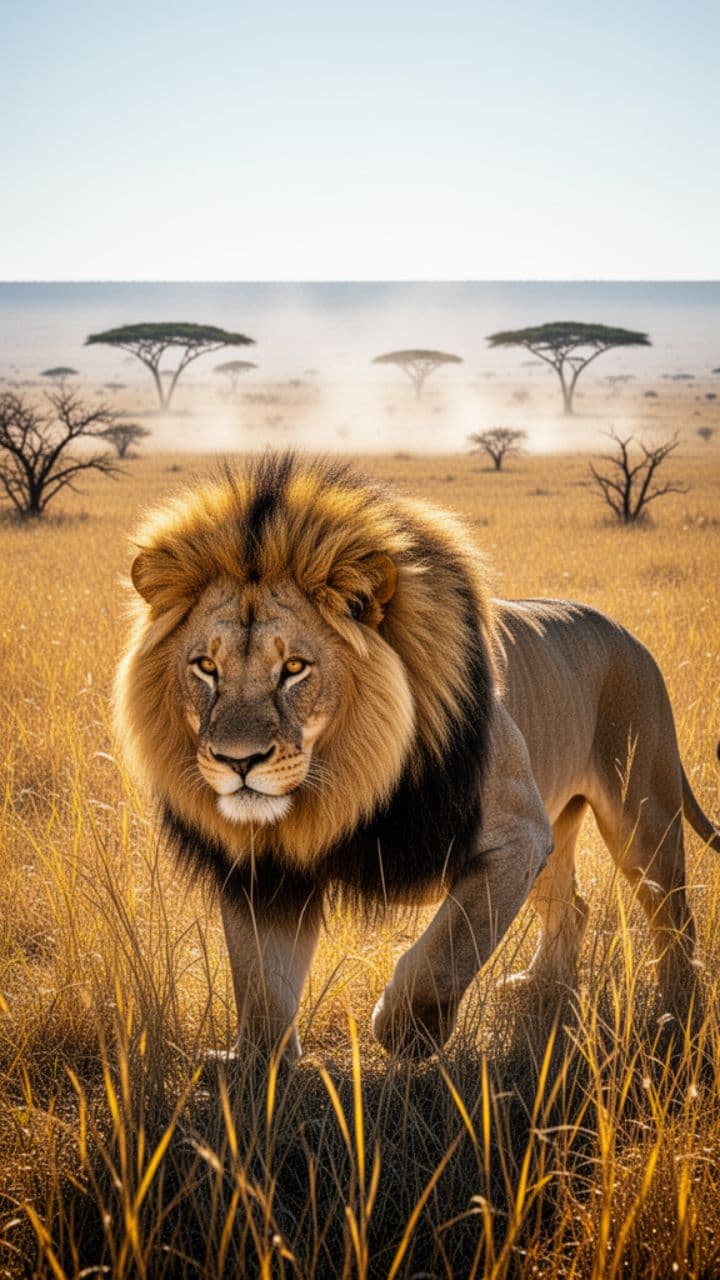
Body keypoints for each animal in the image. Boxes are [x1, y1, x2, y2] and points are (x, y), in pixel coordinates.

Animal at [115, 452, 719, 1058]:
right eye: (205, 667)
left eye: (294, 668)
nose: (238, 761)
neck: (351, 783)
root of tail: (628, 635)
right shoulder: (263, 872)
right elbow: (260, 985)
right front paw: (252, 1064)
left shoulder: (517, 835)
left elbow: (448, 949)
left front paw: (406, 1031)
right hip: (560, 823)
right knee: (573, 905)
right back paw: (540, 987)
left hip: (642, 813)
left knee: (673, 915)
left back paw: (677, 1011)